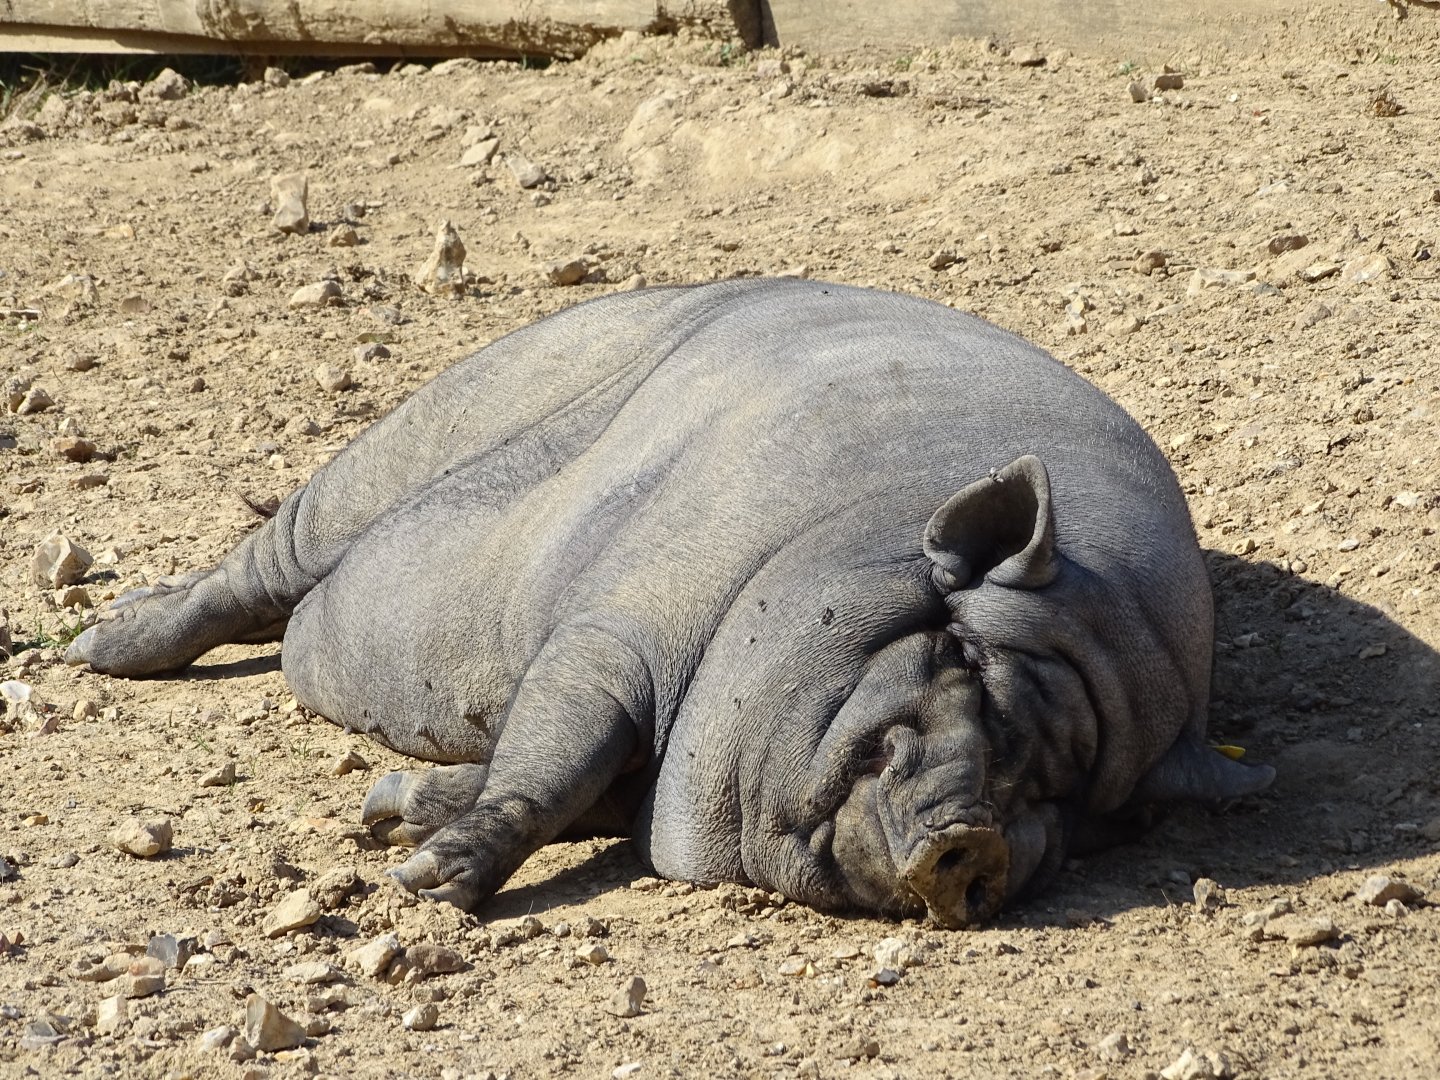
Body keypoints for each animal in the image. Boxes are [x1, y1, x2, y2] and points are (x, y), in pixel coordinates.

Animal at [67, 278, 1273, 927]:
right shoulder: (620, 627)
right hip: (419, 429)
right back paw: (96, 646)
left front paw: (398, 822)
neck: (826, 543)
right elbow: (560, 757)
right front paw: (424, 885)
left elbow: (576, 782)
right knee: (260, 565)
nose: (972, 841)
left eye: (1088, 803)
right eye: (961, 664)